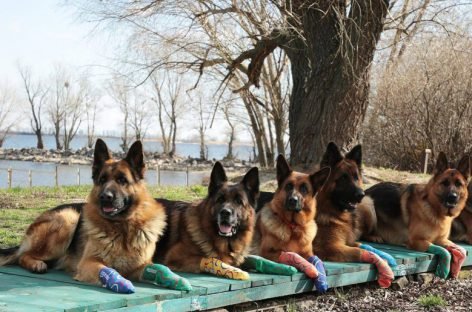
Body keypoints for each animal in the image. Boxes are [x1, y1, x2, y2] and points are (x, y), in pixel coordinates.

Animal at [0, 140, 177, 292]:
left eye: (122, 180)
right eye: (102, 180)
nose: (105, 197)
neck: (123, 228)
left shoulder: (140, 266)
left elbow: (158, 268)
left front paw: (173, 279)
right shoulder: (88, 262)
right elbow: (105, 269)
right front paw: (119, 283)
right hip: (68, 218)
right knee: (22, 255)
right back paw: (36, 264)